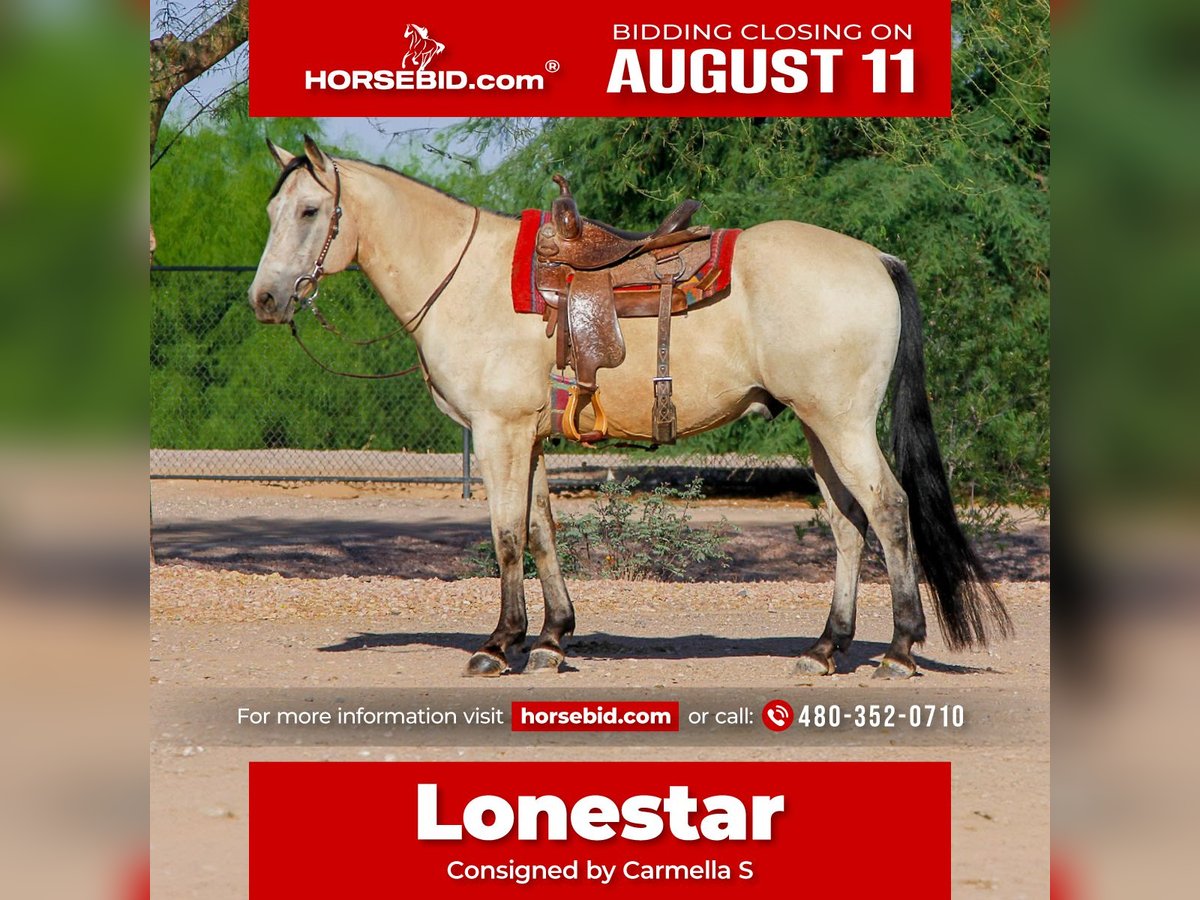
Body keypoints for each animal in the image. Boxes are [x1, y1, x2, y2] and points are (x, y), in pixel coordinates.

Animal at [248, 136, 1011, 679]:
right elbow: (542, 530)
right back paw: (826, 648)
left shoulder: (498, 432)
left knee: (887, 509)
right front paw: (552, 639)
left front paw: (498, 645)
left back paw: (900, 651)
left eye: (310, 212)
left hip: (842, 424)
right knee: (848, 524)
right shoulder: (528, 437)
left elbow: (505, 535)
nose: (266, 299)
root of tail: (877, 258)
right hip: (818, 428)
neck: (465, 278)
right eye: (271, 213)